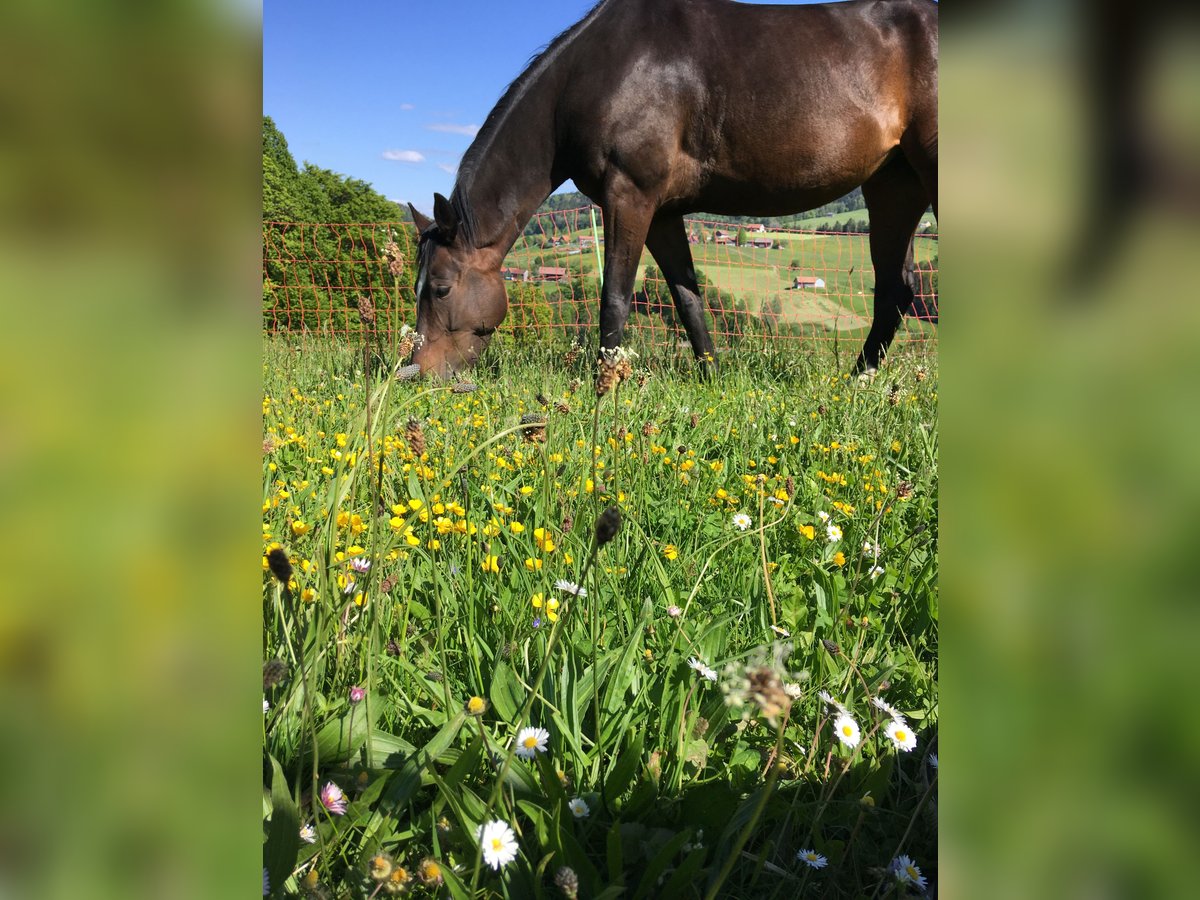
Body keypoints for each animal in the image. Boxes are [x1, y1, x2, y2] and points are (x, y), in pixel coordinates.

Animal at [408, 0, 931, 374]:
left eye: (439, 289)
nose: (419, 373)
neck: (599, 74)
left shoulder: (629, 197)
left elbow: (615, 298)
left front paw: (603, 389)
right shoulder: (661, 213)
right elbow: (688, 299)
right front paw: (711, 379)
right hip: (893, 188)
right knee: (895, 291)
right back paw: (857, 382)